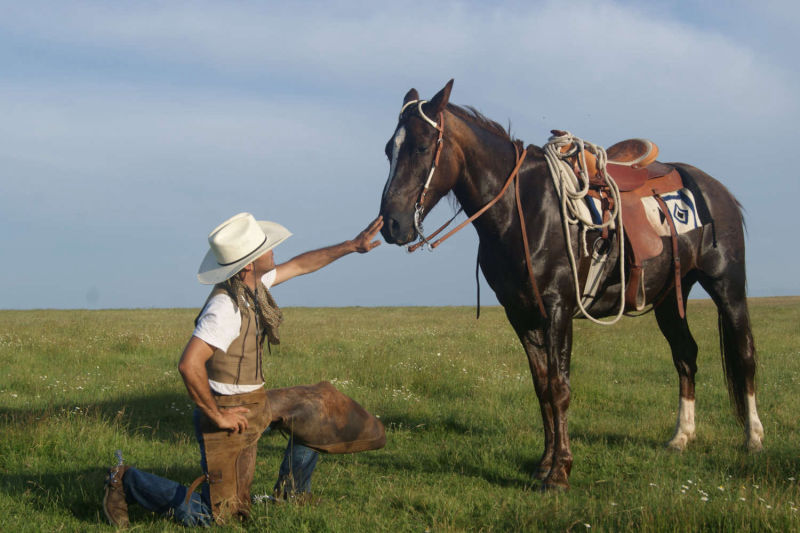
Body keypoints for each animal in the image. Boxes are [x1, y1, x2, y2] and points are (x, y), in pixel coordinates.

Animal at [378, 77, 764, 488]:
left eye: (422, 146)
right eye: (389, 150)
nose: (392, 224)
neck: (523, 208)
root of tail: (716, 189)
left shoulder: (558, 309)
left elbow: (560, 388)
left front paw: (560, 471)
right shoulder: (522, 315)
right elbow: (542, 389)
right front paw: (544, 464)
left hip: (727, 286)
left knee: (744, 354)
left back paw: (753, 438)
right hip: (668, 298)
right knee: (685, 356)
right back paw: (681, 437)